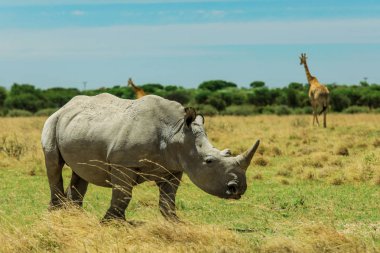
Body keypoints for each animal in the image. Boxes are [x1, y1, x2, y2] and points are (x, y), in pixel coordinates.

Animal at [42, 94, 262, 220]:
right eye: (209, 161)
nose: (237, 189)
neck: (177, 132)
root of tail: (66, 106)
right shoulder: (123, 163)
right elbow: (123, 195)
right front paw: (112, 223)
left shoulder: (174, 168)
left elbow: (168, 200)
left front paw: (175, 223)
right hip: (52, 121)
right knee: (54, 165)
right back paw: (57, 214)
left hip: (79, 126)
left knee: (81, 172)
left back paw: (74, 216)